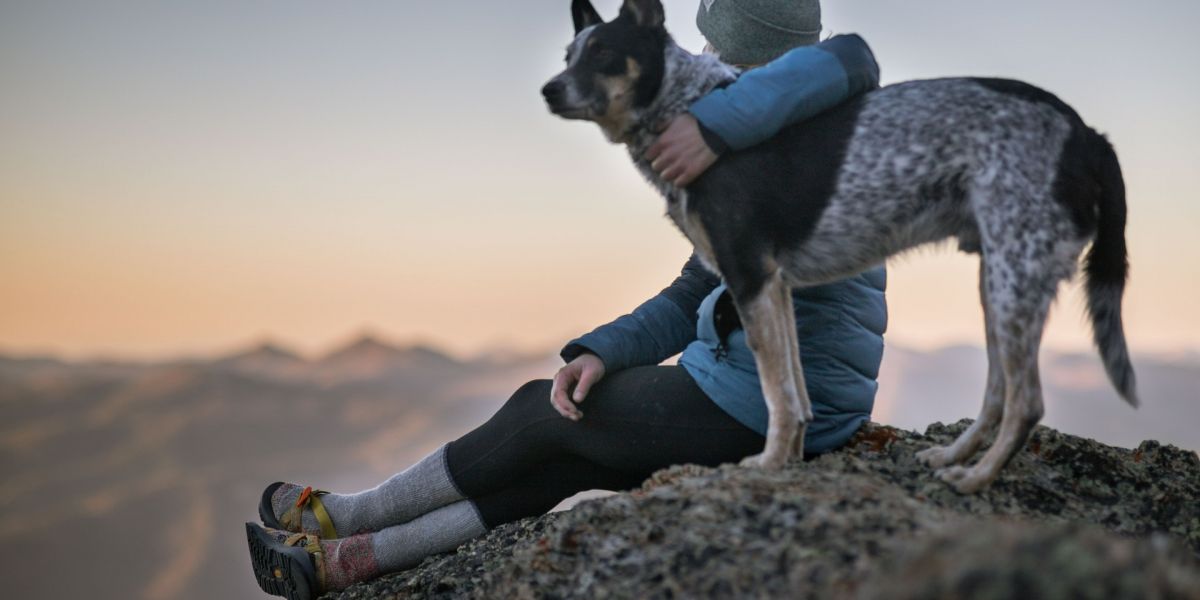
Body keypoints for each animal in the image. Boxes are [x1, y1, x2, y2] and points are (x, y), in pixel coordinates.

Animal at [544, 0, 1132, 492]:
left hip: (1015, 281)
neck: (683, 105)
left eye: (604, 53)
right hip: (1001, 284)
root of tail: (1088, 134)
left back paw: (976, 479)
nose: (549, 90)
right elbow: (794, 393)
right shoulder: (774, 287)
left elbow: (776, 392)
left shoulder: (748, 276)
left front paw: (766, 466)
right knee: (995, 393)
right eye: (569, 55)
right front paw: (787, 460)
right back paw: (950, 458)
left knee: (1026, 402)